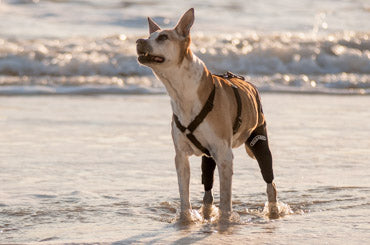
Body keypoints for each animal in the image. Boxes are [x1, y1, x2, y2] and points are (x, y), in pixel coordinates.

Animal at [137, 8, 278, 222]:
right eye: (148, 36)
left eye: (162, 37)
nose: (138, 41)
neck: (182, 92)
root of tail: (249, 84)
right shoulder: (181, 156)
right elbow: (184, 193)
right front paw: (185, 218)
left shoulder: (224, 155)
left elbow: (226, 197)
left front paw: (225, 220)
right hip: (208, 155)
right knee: (207, 186)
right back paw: (206, 211)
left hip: (259, 140)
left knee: (270, 181)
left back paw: (273, 210)